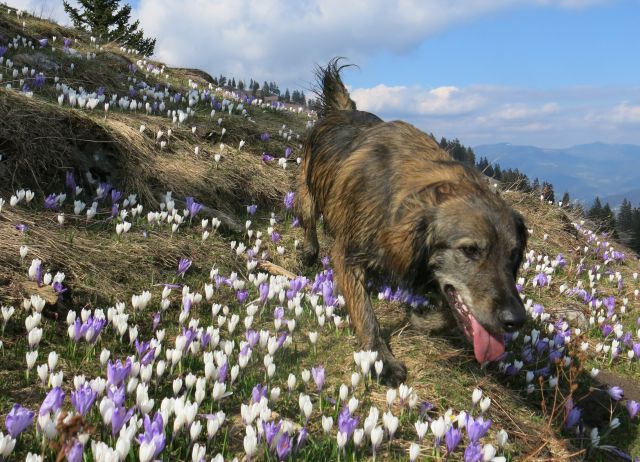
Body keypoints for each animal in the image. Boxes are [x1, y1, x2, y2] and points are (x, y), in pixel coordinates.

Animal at [298, 59, 528, 384]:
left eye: (514, 255)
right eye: (469, 250)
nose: (515, 320)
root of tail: (341, 110)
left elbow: (449, 312)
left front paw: (421, 319)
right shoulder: (347, 253)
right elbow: (365, 312)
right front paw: (381, 360)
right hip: (308, 192)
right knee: (308, 224)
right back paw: (308, 252)